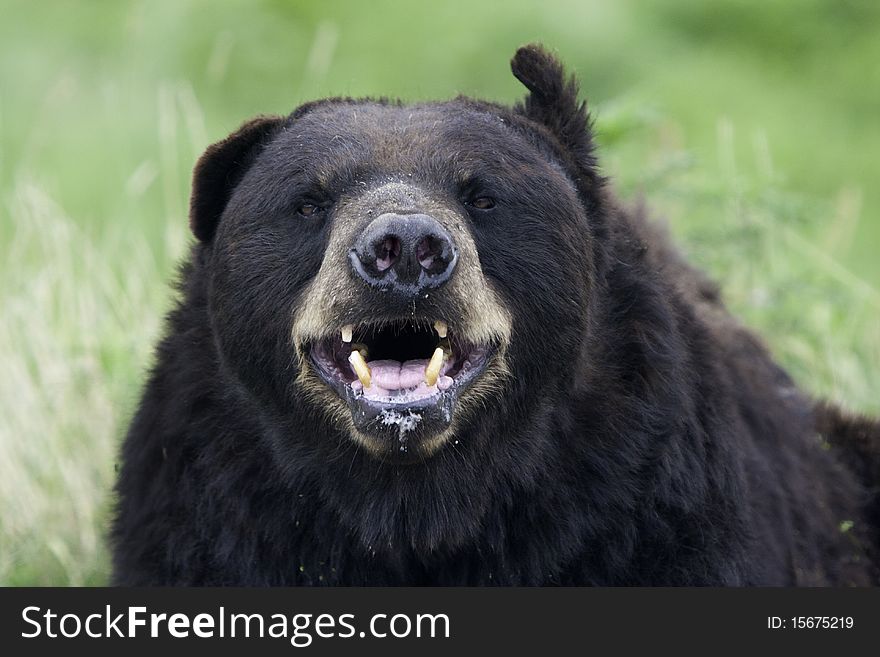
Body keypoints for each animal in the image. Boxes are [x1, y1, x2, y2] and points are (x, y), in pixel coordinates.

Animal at [111, 42, 880, 584]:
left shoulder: (646, 511)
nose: (406, 248)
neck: (416, 508)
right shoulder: (215, 514)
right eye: (308, 200)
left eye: (483, 196)